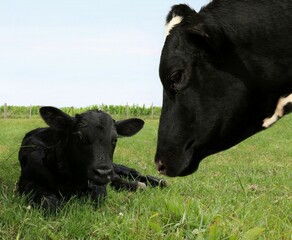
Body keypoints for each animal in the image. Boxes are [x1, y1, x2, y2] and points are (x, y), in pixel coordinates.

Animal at [17, 106, 164, 210]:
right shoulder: (26, 181)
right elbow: (50, 203)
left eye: (115, 139)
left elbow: (98, 196)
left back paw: (156, 181)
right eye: (79, 136)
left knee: (128, 172)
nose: (103, 172)